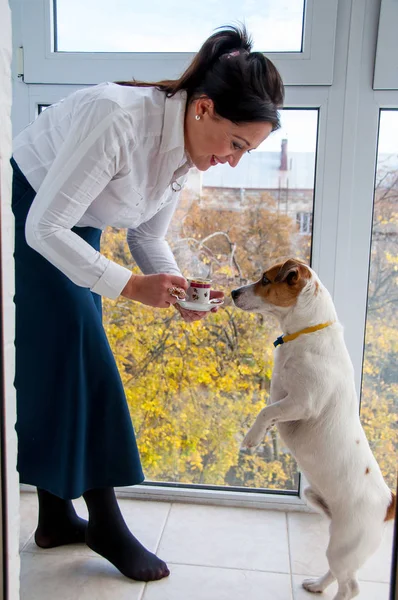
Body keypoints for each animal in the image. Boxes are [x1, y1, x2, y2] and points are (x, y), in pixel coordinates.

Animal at [232, 258, 394, 600]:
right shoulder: (281, 393)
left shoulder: (303, 403)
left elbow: (266, 411)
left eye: (265, 280)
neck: (305, 334)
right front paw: (262, 434)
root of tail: (388, 502)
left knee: (351, 585)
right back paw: (317, 584)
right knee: (337, 573)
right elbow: (270, 410)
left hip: (345, 544)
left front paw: (252, 437)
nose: (233, 292)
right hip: (325, 517)